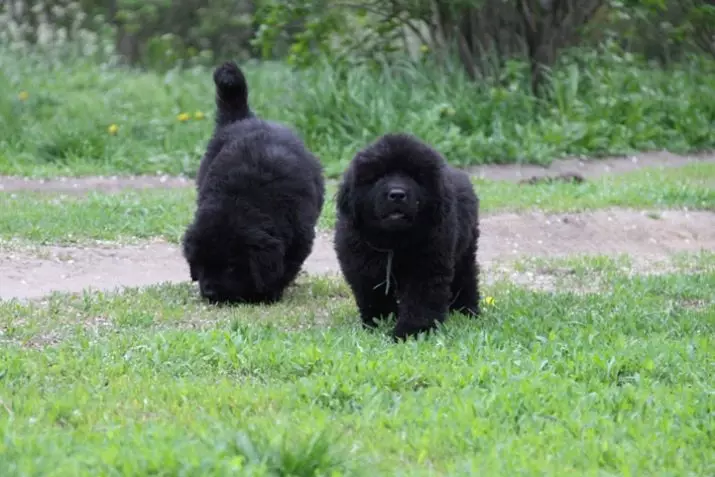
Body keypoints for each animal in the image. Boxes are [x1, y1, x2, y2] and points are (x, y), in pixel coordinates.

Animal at [183, 60, 326, 304]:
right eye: (201, 263)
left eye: (231, 266)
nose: (210, 293)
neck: (242, 199)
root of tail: (244, 118)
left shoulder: (300, 235)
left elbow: (286, 266)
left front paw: (268, 293)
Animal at [336, 131, 482, 338]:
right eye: (379, 175)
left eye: (415, 176)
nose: (397, 194)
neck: (394, 241)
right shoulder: (361, 266)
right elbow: (373, 296)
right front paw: (377, 324)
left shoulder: (427, 265)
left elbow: (420, 301)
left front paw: (411, 331)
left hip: (465, 249)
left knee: (466, 277)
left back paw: (467, 311)